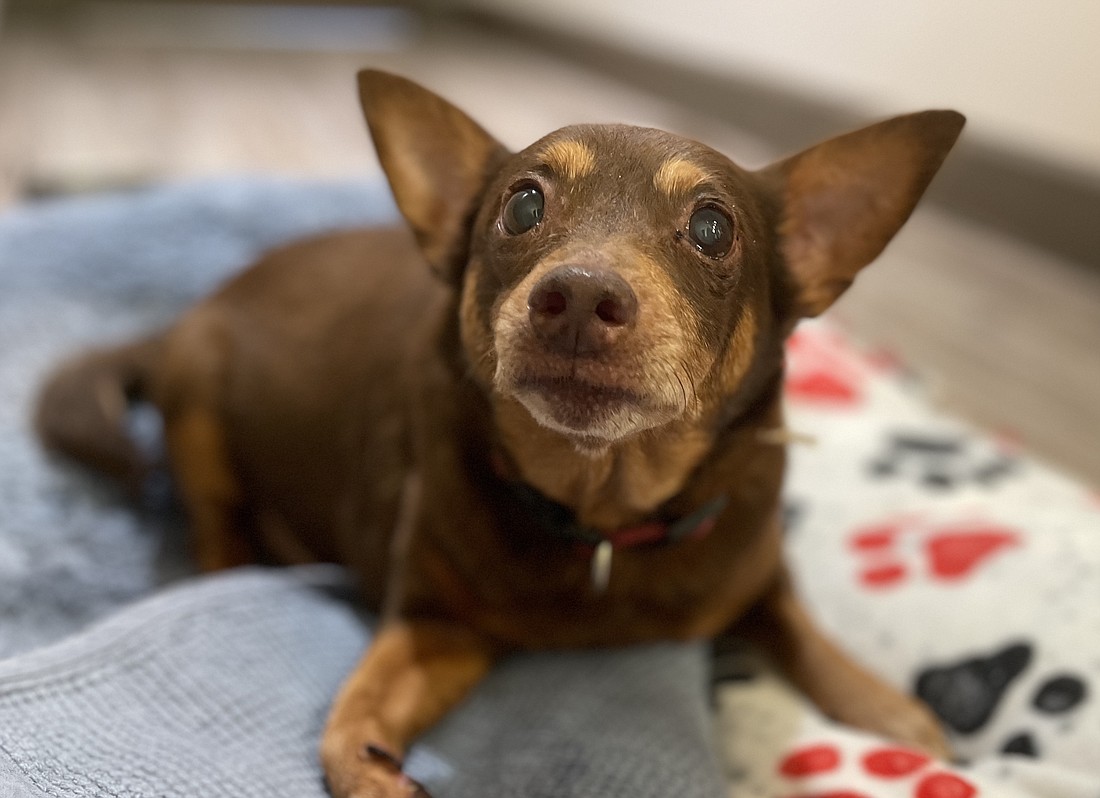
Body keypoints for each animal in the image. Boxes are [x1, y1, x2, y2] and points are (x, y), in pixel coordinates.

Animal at [34, 70, 963, 796]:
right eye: (523, 205)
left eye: (712, 226)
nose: (580, 295)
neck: (601, 512)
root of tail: (188, 312)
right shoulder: (436, 626)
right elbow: (348, 717)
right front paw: (374, 768)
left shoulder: (756, 569)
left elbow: (804, 629)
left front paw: (894, 714)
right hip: (199, 408)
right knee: (214, 528)